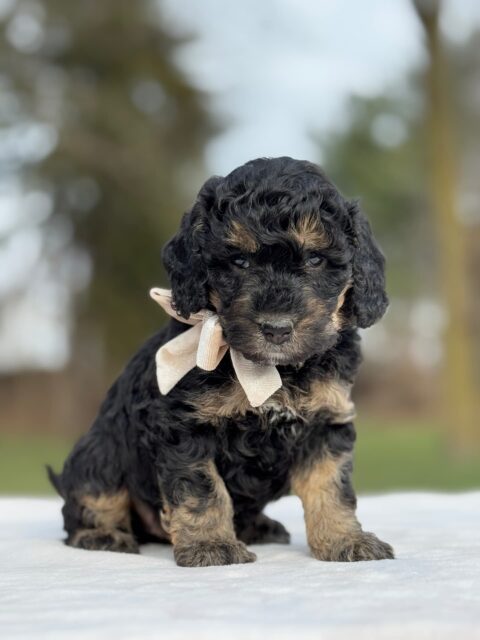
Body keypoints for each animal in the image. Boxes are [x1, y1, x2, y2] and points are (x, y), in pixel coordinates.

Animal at [48, 158, 394, 568]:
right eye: (239, 261)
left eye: (315, 259)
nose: (276, 328)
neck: (270, 370)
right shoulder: (183, 424)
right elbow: (202, 489)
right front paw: (211, 545)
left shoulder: (325, 420)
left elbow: (331, 486)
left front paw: (345, 539)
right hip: (100, 451)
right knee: (90, 497)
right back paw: (102, 534)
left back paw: (260, 526)